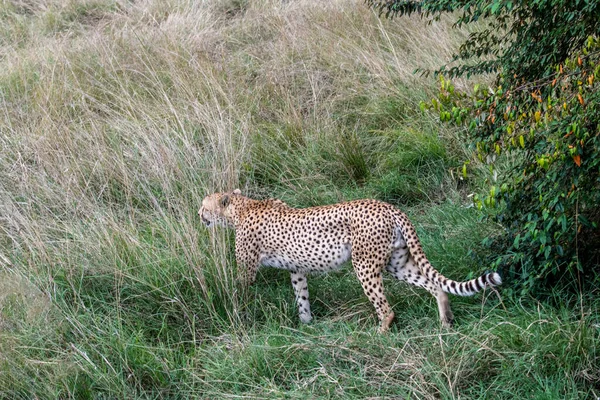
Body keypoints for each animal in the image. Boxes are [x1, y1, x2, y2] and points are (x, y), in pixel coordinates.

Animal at [199, 190, 500, 332]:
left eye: (204, 205)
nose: (199, 215)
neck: (241, 207)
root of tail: (387, 205)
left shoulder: (247, 268)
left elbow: (238, 291)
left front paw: (237, 316)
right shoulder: (297, 269)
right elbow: (302, 296)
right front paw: (307, 325)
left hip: (365, 265)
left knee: (386, 308)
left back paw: (379, 334)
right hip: (397, 263)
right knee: (435, 285)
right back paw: (445, 322)